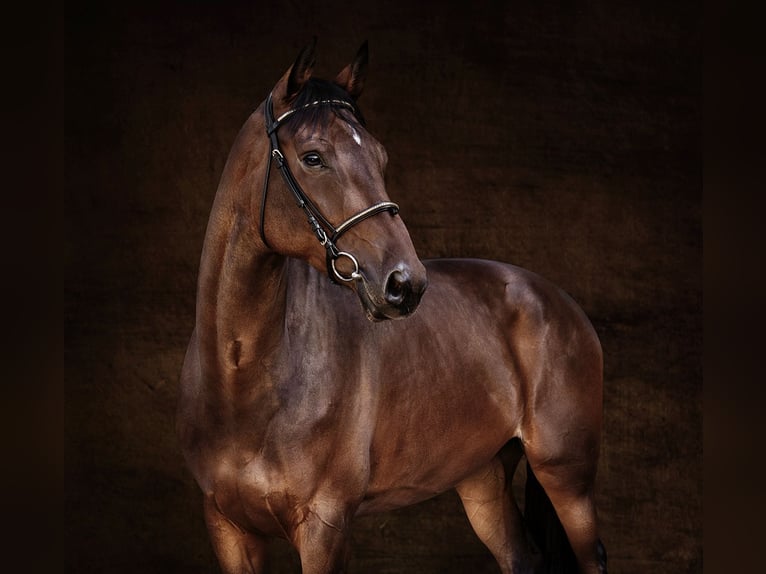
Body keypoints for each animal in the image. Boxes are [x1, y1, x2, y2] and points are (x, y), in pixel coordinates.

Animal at [177, 38, 608, 572]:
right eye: (313, 157)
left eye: (380, 157)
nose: (406, 283)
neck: (243, 378)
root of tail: (559, 301)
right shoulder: (228, 528)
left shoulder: (325, 527)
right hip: (483, 478)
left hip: (567, 478)